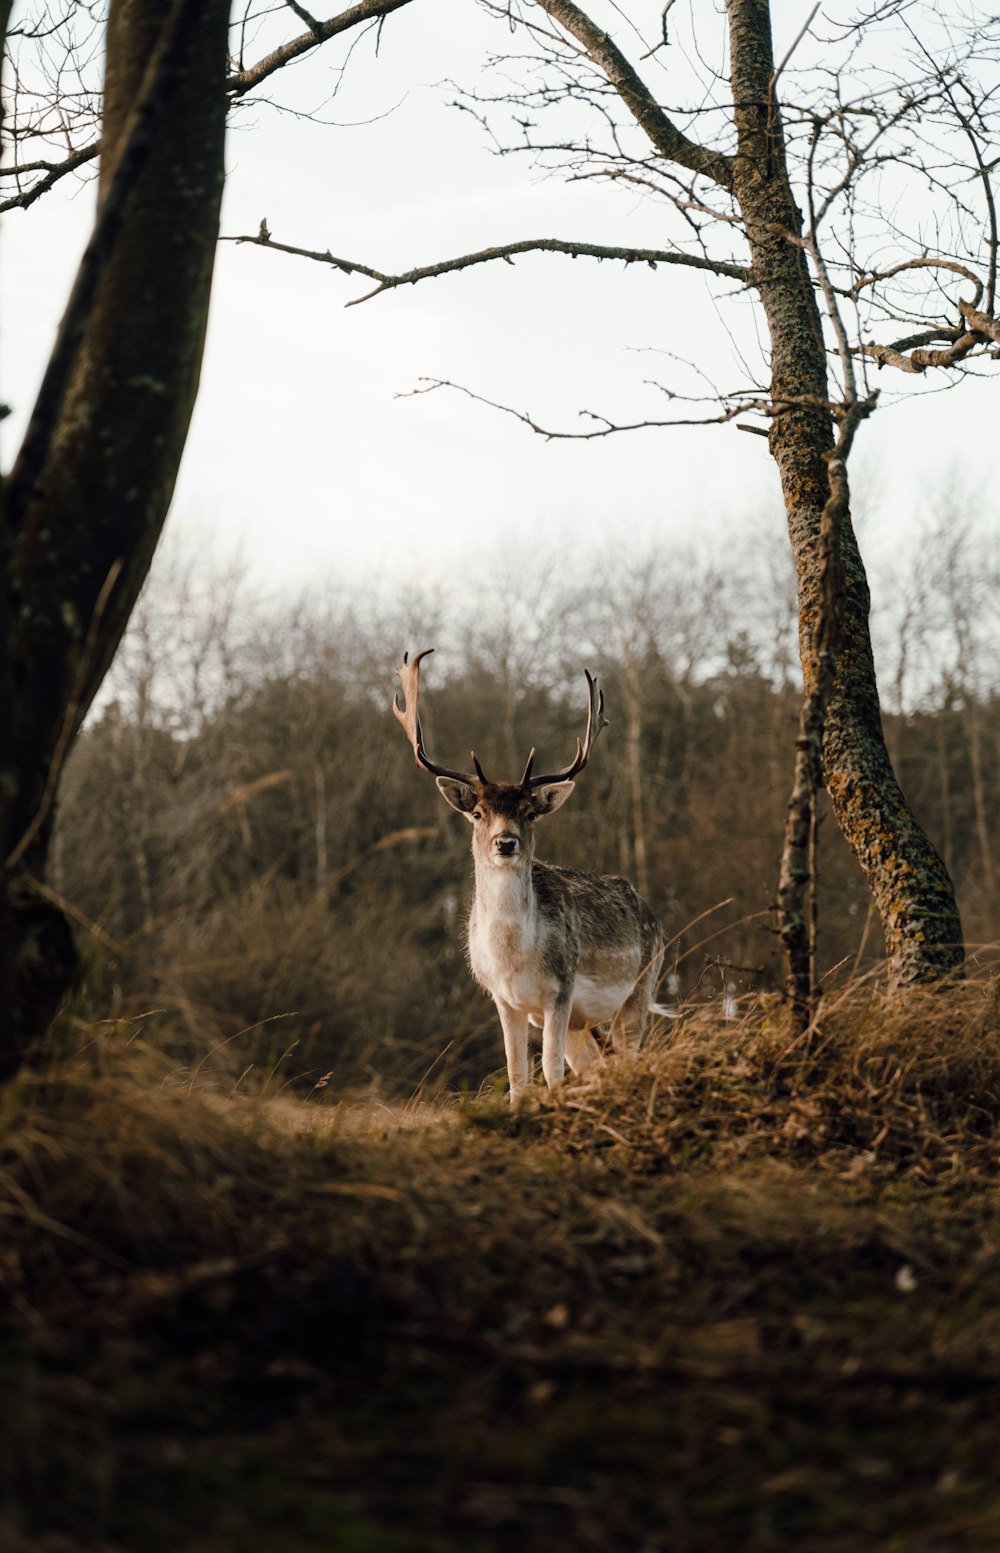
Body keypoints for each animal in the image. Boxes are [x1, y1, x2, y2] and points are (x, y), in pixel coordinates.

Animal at [391, 652, 664, 1105]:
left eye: (530, 813)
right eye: (478, 813)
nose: (506, 842)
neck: (514, 960)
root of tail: (653, 914)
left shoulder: (562, 988)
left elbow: (550, 1073)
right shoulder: (504, 1001)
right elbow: (518, 1078)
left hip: (641, 986)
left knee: (627, 1057)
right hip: (584, 1024)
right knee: (596, 1065)